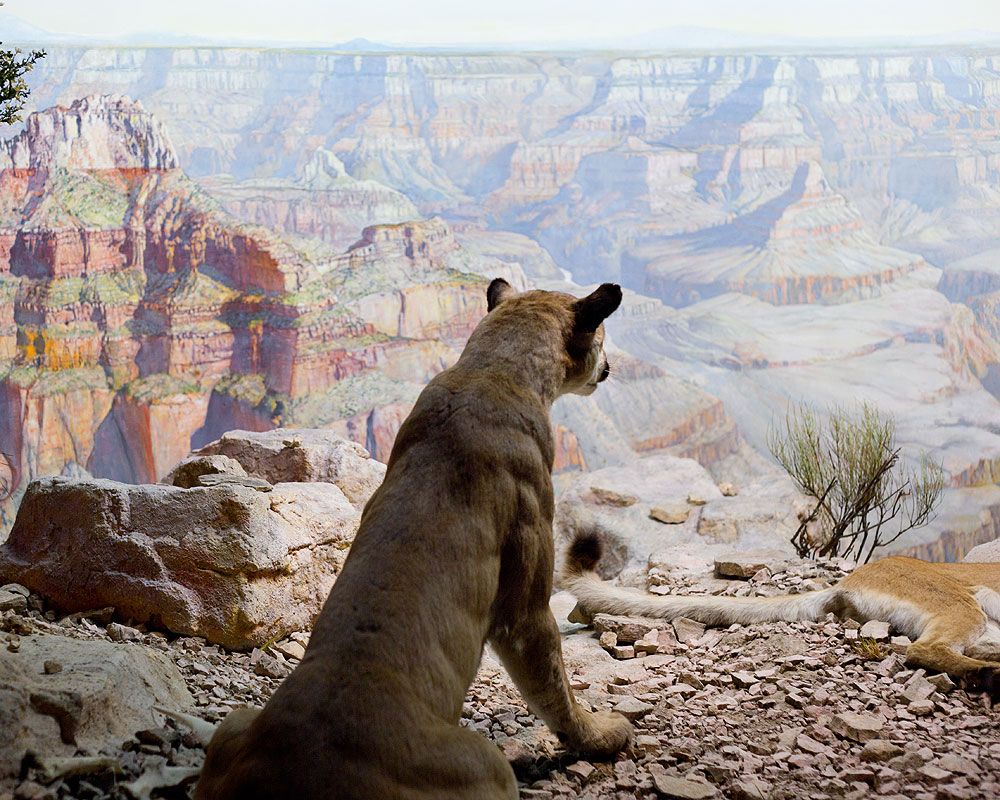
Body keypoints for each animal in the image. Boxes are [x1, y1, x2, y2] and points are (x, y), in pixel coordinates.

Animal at [193, 276, 632, 800]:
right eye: (603, 337)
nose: (608, 366)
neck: (494, 369)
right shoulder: (524, 610)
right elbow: (553, 684)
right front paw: (603, 734)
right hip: (487, 763)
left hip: (234, 724)